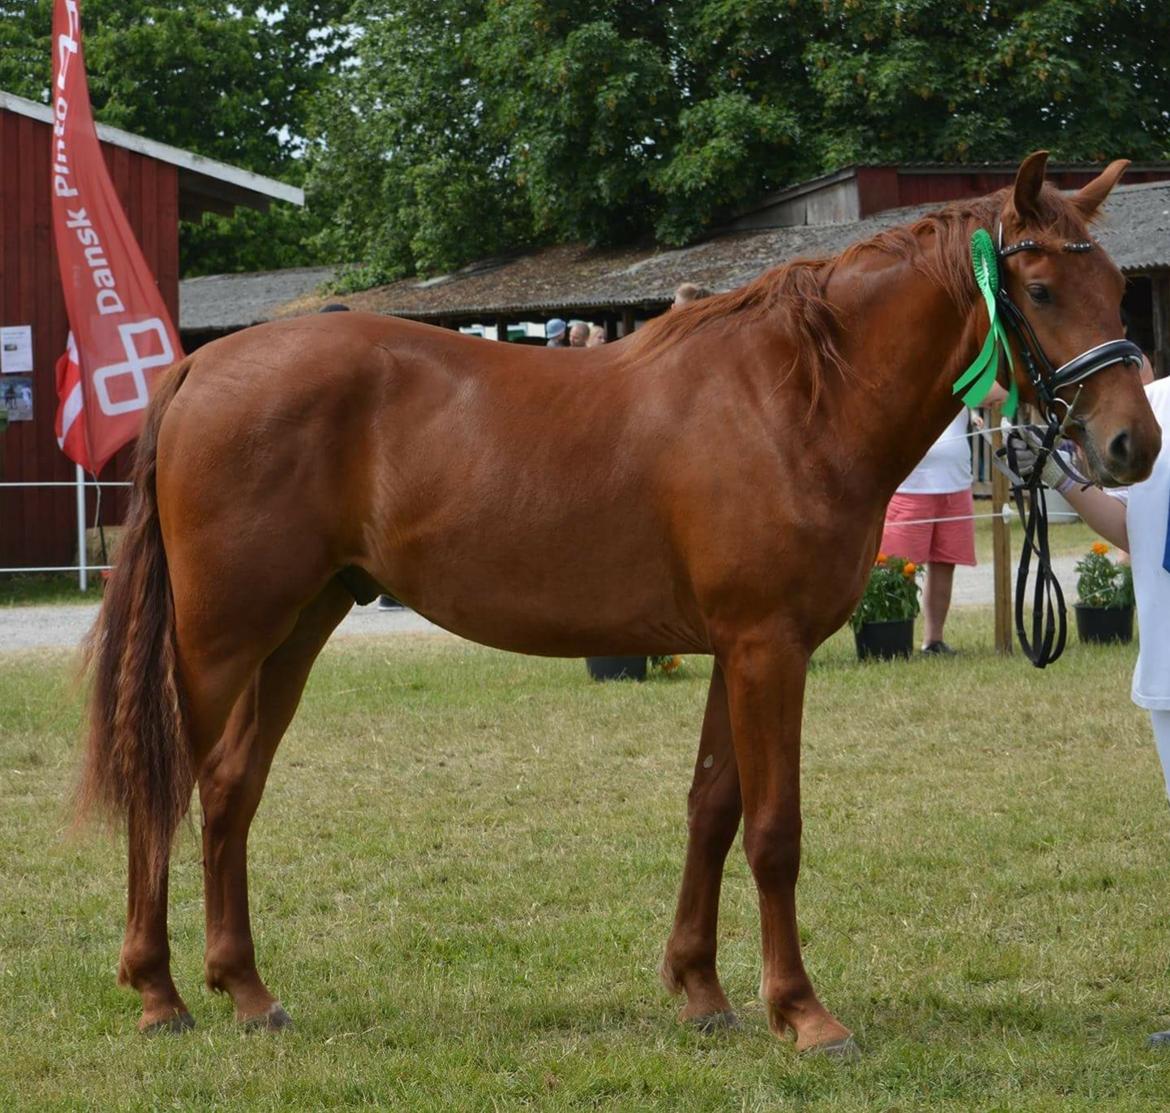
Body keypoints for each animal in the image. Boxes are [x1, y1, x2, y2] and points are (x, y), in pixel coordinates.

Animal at [80, 154, 1160, 1053]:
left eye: (1117, 288)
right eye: (1041, 288)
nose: (1133, 445)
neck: (794, 400)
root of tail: (201, 364)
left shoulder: (738, 648)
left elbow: (712, 808)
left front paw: (702, 992)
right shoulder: (769, 647)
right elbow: (774, 830)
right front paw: (803, 1013)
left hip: (299, 628)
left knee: (230, 788)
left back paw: (246, 991)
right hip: (218, 640)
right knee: (167, 786)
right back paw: (159, 994)